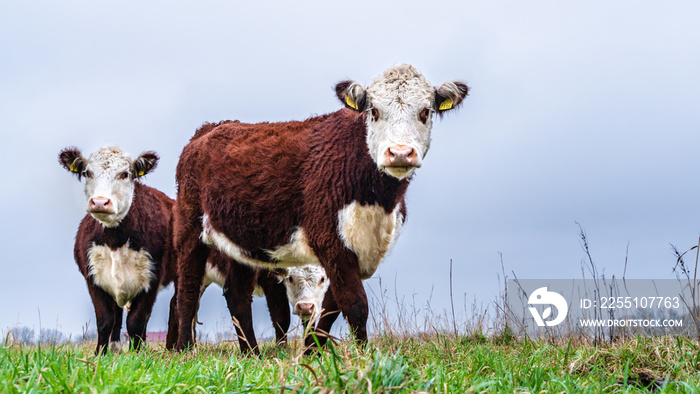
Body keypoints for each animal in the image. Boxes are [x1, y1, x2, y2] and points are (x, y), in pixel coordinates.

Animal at [58, 146, 176, 356]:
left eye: (125, 174)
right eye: (87, 172)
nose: (99, 202)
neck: (115, 240)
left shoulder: (151, 279)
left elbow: (136, 322)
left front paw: (137, 355)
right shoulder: (93, 278)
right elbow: (105, 320)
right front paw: (100, 354)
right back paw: (115, 347)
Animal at [173, 64, 470, 350]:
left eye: (426, 111)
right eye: (374, 110)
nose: (399, 153)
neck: (376, 200)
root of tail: (210, 129)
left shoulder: (356, 251)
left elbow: (329, 309)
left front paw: (310, 353)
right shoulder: (330, 239)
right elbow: (355, 304)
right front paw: (364, 359)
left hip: (240, 239)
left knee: (237, 295)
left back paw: (252, 355)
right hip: (189, 228)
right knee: (187, 290)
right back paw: (184, 350)